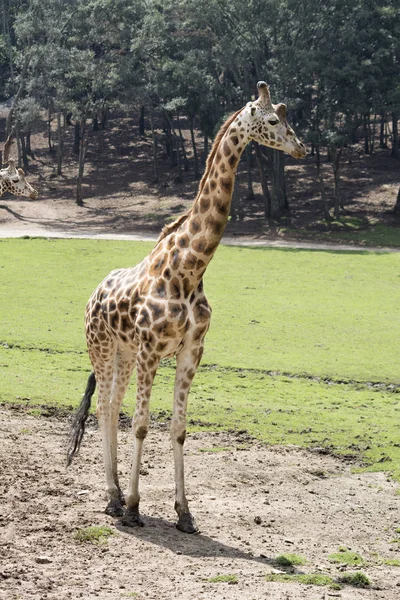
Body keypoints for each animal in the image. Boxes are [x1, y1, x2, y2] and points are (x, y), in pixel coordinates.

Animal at [68, 81, 306, 536]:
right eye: (272, 121)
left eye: (288, 119)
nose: (300, 147)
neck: (190, 268)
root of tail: (92, 296)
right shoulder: (150, 349)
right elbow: (142, 424)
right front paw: (135, 507)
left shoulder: (192, 350)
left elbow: (178, 428)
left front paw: (184, 514)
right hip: (102, 348)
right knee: (106, 407)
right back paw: (113, 499)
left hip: (123, 354)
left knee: (112, 406)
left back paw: (113, 494)